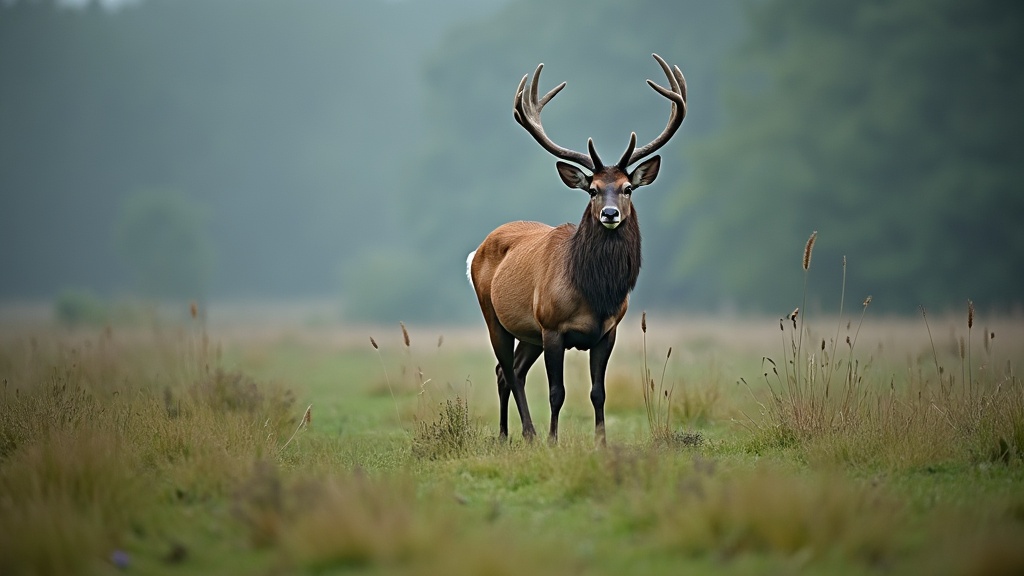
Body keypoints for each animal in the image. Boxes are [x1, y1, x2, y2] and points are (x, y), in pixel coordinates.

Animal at [466, 52, 688, 444]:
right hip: (495, 316)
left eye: (628, 188)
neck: (594, 293)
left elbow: (598, 392)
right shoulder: (553, 327)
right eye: (593, 189)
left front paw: (601, 442)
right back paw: (520, 433)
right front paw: (553, 440)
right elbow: (557, 392)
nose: (610, 214)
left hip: (529, 332)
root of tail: (476, 252)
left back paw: (516, 434)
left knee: (512, 372)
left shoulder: (608, 331)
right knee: (505, 370)